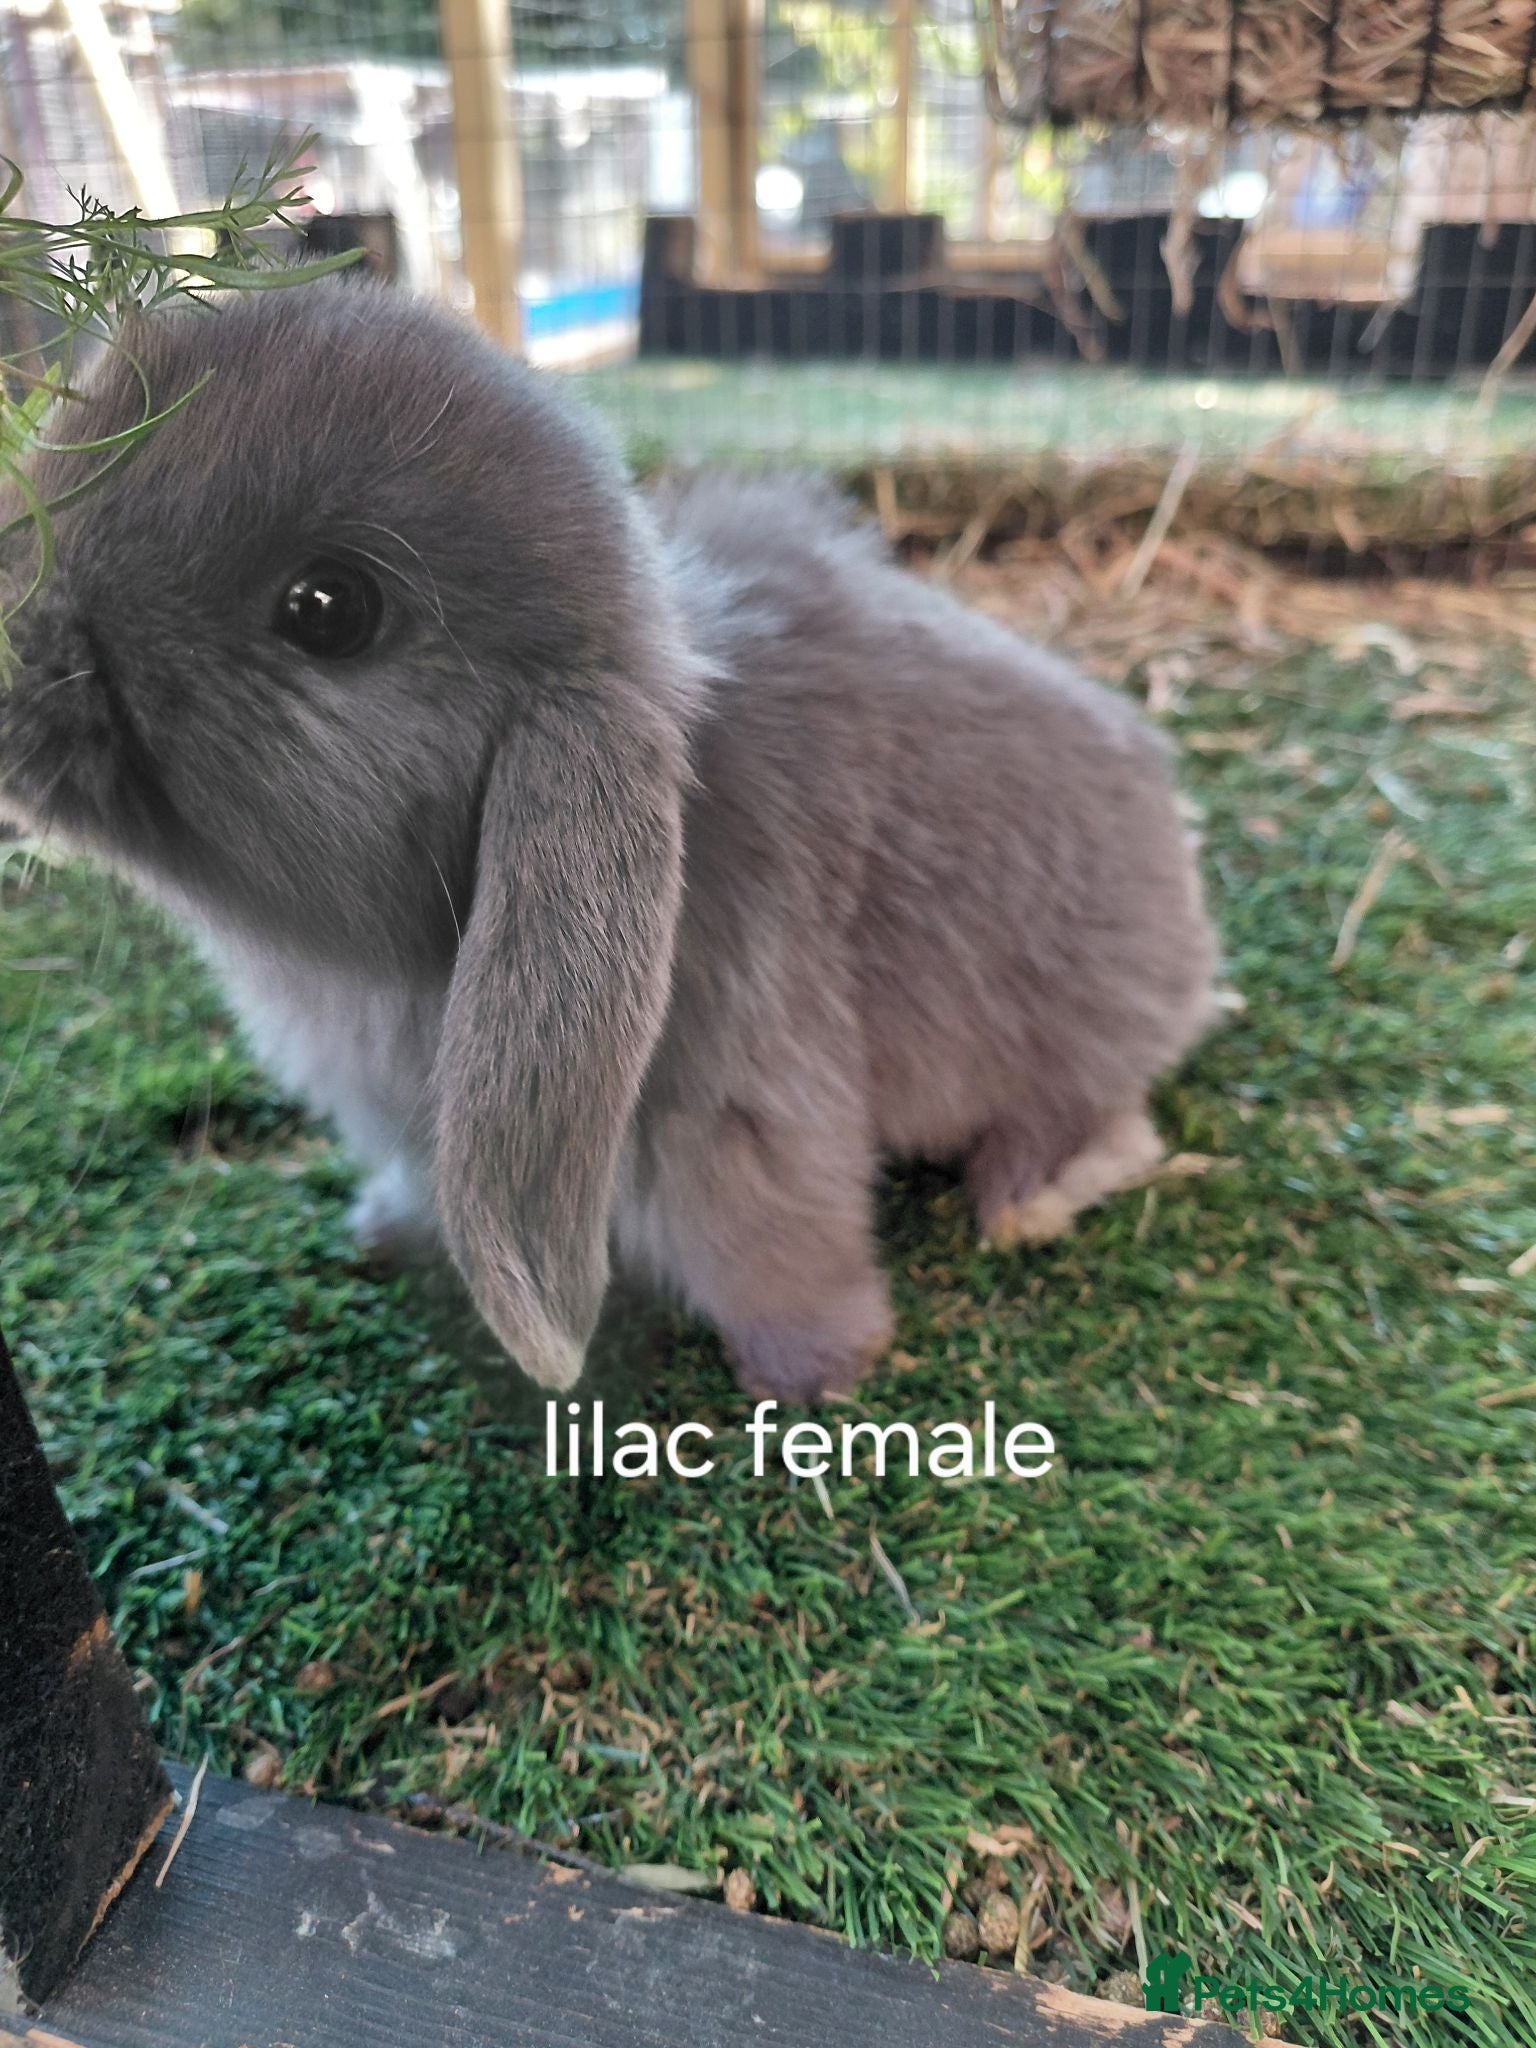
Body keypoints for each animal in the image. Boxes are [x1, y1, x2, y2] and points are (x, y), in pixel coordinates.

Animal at [0, 284, 1219, 1401]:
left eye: (327, 607)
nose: (19, 650)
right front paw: (382, 1229)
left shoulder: (743, 1116)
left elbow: (778, 1245)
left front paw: (819, 1376)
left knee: (1106, 1115)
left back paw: (1024, 1197)